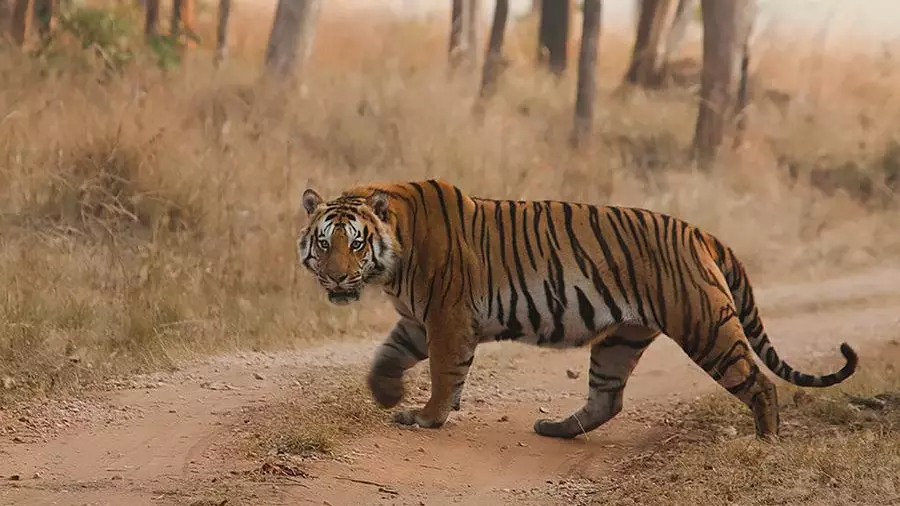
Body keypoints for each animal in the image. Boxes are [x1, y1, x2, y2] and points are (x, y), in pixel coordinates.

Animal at [296, 179, 857, 440]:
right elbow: (387, 356)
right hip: (621, 338)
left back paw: (766, 441)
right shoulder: (419, 319)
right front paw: (386, 394)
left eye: (356, 243)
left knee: (760, 382)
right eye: (325, 243)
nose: (338, 277)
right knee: (607, 399)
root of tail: (699, 231)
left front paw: (427, 417)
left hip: (707, 328)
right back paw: (557, 428)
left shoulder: (447, 317)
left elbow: (442, 373)